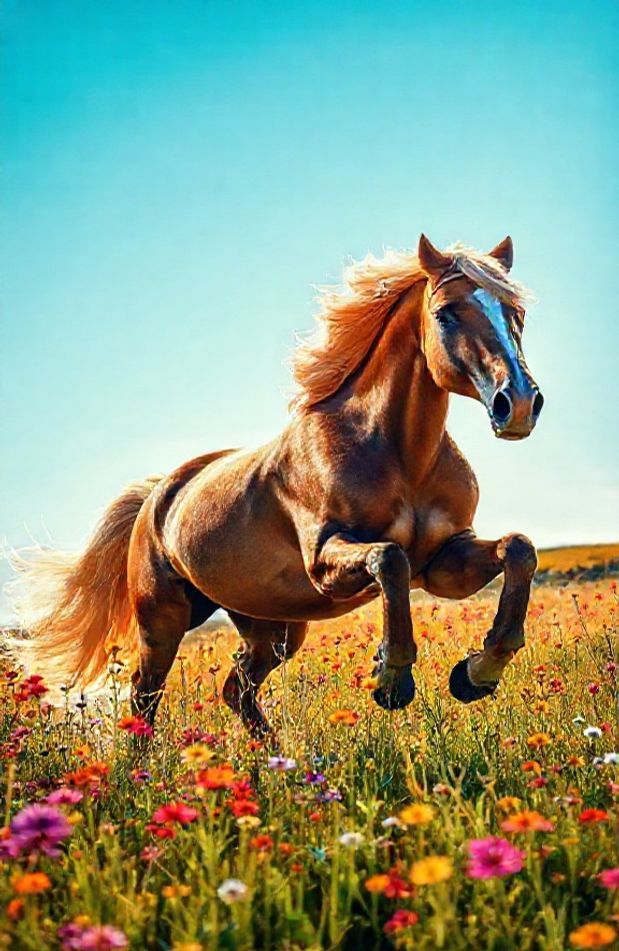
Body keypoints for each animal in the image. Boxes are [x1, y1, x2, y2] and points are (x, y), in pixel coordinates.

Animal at [12, 234, 544, 735]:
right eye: (446, 314)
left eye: (516, 312)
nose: (517, 403)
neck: (397, 453)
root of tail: (157, 496)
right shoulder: (325, 560)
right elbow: (390, 558)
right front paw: (391, 680)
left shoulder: (444, 562)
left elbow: (519, 549)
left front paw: (476, 673)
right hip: (163, 618)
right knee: (145, 695)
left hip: (273, 627)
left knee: (236, 689)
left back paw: (279, 759)